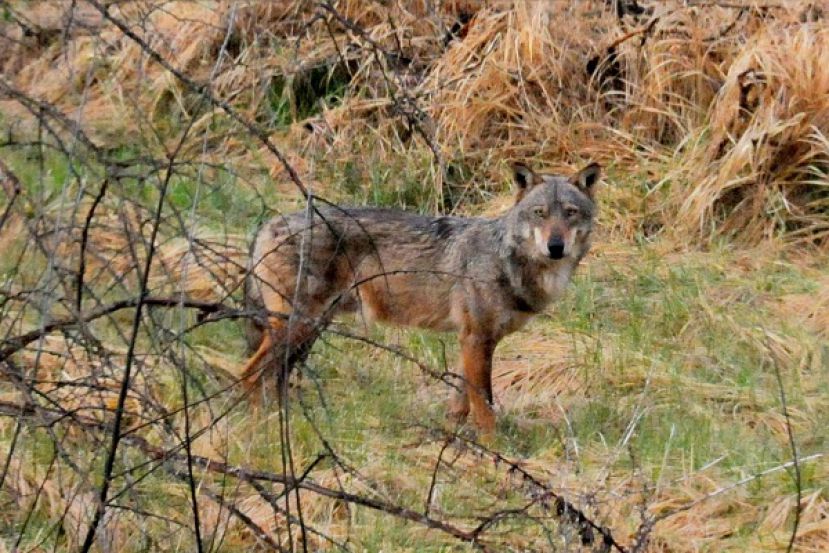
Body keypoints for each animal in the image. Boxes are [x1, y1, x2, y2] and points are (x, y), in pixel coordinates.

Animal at [242, 161, 600, 433]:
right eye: (540, 213)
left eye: (570, 213)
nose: (556, 247)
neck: (505, 258)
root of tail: (268, 224)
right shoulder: (477, 339)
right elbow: (484, 406)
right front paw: (496, 451)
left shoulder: (471, 340)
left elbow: (460, 403)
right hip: (298, 326)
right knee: (251, 373)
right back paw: (261, 431)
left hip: (310, 330)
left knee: (276, 376)